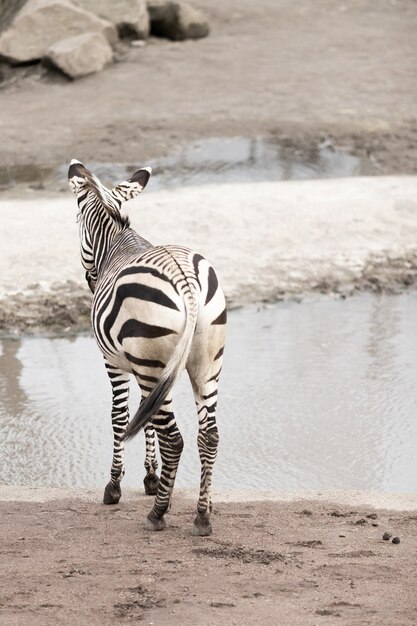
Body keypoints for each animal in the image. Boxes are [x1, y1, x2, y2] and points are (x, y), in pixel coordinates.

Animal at [68, 158, 226, 532]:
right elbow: (146, 415)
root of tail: (186, 281)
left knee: (176, 439)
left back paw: (158, 512)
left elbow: (121, 417)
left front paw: (114, 486)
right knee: (208, 436)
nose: (90, 280)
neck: (119, 243)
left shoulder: (114, 362)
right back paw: (203, 515)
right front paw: (152, 478)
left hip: (153, 365)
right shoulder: (145, 367)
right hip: (203, 364)